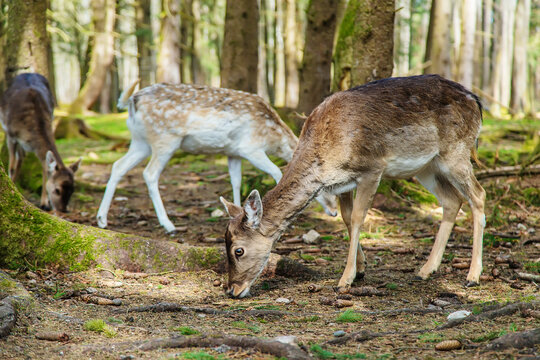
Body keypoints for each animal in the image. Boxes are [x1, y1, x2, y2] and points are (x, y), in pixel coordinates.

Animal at [0, 74, 81, 212]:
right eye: (57, 190)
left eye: (72, 190)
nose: (63, 210)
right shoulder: (11, 136)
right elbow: (11, 166)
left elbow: (44, 167)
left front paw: (44, 203)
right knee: (18, 159)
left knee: (21, 158)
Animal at [95, 82, 336, 233]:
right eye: (322, 188)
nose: (334, 212)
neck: (273, 135)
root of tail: (131, 100)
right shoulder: (251, 148)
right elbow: (277, 171)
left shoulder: (233, 152)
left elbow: (236, 181)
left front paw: (238, 214)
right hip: (165, 140)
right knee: (149, 173)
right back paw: (168, 225)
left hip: (140, 141)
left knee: (118, 166)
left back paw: (102, 220)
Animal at [218, 74, 486, 298]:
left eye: (238, 251)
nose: (232, 290)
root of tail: (476, 101)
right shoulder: (343, 184)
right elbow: (346, 218)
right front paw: (361, 268)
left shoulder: (372, 168)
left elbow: (358, 217)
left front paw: (345, 279)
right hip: (427, 167)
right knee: (452, 200)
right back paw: (426, 269)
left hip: (457, 151)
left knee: (478, 195)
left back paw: (472, 275)